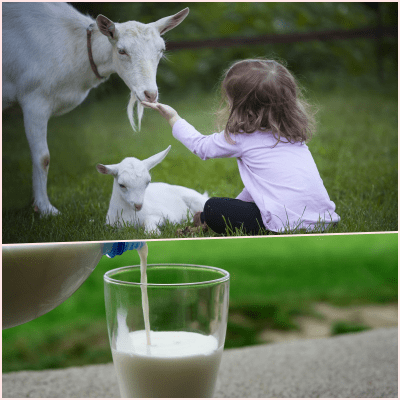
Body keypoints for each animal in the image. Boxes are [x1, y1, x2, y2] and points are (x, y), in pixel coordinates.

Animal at [1, 3, 189, 216]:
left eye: (161, 50)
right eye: (121, 51)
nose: (150, 94)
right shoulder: (34, 99)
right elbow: (43, 158)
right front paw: (46, 209)